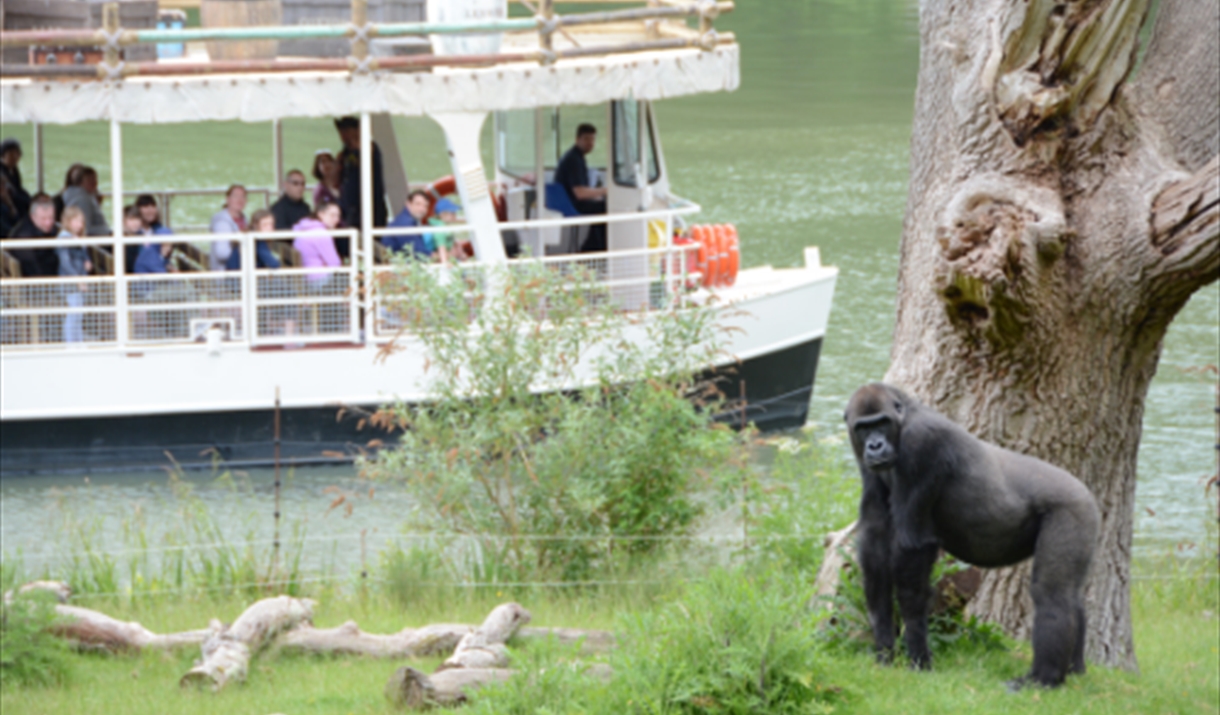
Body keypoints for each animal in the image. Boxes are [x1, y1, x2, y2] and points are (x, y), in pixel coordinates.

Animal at [844, 380, 1102, 688]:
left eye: (881, 423)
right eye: (863, 427)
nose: (874, 445)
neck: (904, 417)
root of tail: (1087, 493)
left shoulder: (922, 445)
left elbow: (912, 551)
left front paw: (918, 656)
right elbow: (875, 543)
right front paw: (884, 650)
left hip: (1073, 509)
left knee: (1053, 594)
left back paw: (1043, 679)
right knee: (1071, 595)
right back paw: (1074, 671)